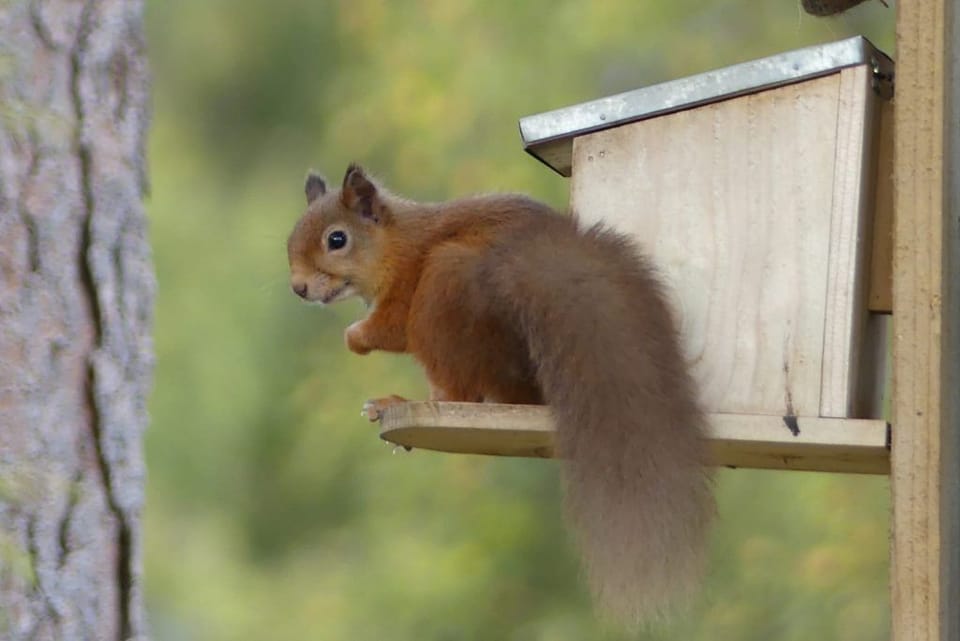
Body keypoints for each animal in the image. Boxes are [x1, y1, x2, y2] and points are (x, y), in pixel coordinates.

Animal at [287, 163, 714, 625]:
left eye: (337, 239)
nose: (298, 288)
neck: (395, 241)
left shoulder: (405, 283)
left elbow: (390, 328)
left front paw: (355, 337)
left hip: (443, 288)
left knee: (460, 391)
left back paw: (404, 403)